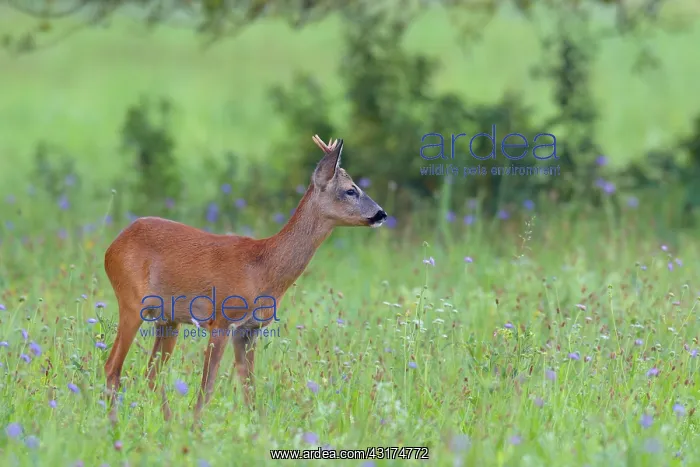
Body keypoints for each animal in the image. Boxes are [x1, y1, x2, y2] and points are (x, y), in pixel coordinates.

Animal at [102, 135, 388, 424]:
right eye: (351, 190)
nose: (381, 214)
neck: (262, 268)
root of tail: (112, 247)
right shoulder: (221, 319)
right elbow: (208, 386)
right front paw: (196, 427)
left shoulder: (249, 330)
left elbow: (250, 390)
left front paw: (256, 428)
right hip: (131, 301)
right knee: (113, 366)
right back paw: (114, 423)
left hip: (168, 319)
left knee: (151, 373)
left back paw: (166, 423)